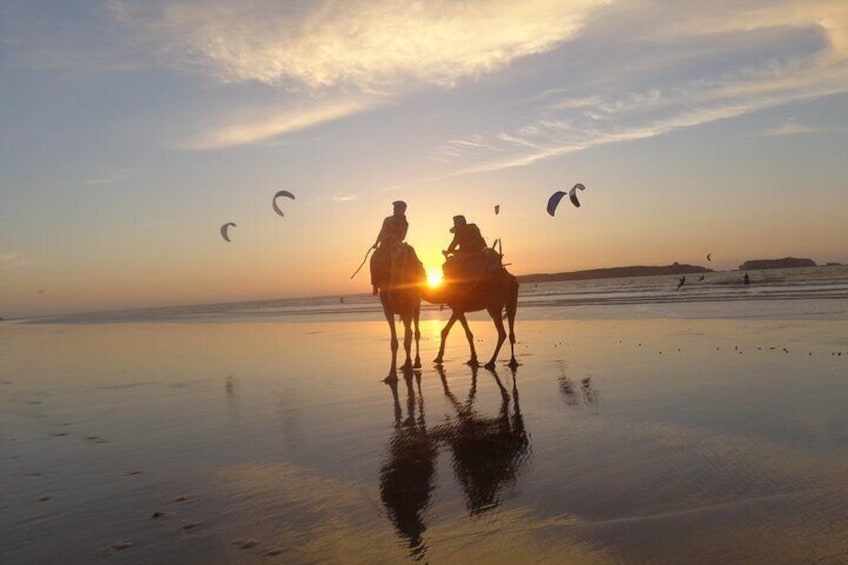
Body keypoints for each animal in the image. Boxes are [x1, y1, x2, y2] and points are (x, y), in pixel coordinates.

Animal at [378, 242, 424, 378]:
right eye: (391, 257)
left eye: (404, 257)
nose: (394, 291)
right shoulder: (387, 310)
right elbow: (394, 342)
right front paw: (391, 375)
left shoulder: (408, 308)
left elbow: (407, 339)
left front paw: (409, 368)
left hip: (417, 304)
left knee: (415, 330)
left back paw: (416, 362)